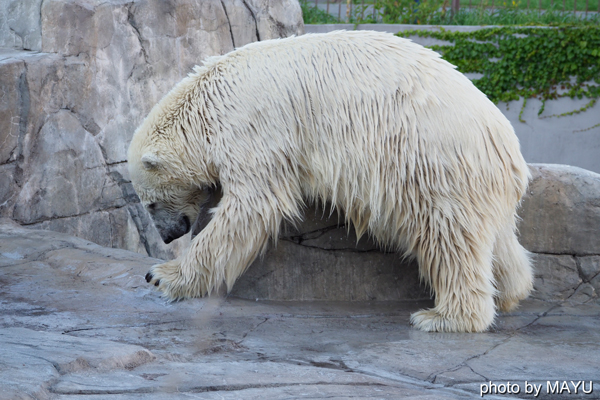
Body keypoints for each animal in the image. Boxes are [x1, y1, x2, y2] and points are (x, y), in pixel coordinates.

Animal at [129, 29, 532, 332]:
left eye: (150, 202)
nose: (169, 235)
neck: (205, 104)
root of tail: (504, 141)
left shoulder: (250, 127)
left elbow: (253, 203)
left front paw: (163, 276)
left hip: (432, 161)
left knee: (447, 235)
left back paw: (444, 317)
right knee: (494, 237)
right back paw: (512, 292)